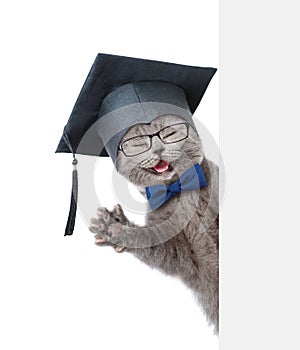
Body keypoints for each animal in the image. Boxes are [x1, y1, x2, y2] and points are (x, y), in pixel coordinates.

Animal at [88, 114, 219, 334]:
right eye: (138, 143)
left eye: (170, 133)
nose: (158, 149)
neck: (177, 190)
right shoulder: (182, 256)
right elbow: (157, 248)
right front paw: (114, 227)